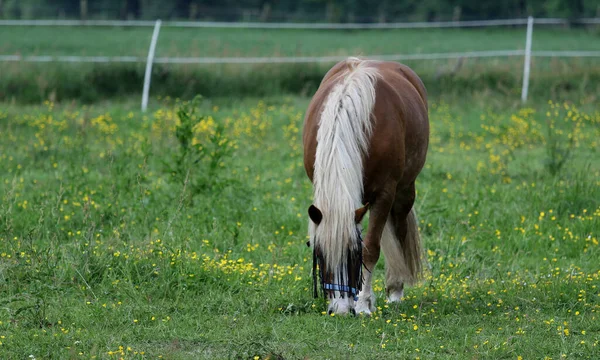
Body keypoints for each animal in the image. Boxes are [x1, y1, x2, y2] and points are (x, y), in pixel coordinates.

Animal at [302, 56, 428, 316]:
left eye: (353, 256)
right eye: (320, 255)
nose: (340, 310)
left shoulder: (384, 194)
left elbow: (371, 247)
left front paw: (362, 304)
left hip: (404, 191)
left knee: (399, 230)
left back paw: (395, 290)